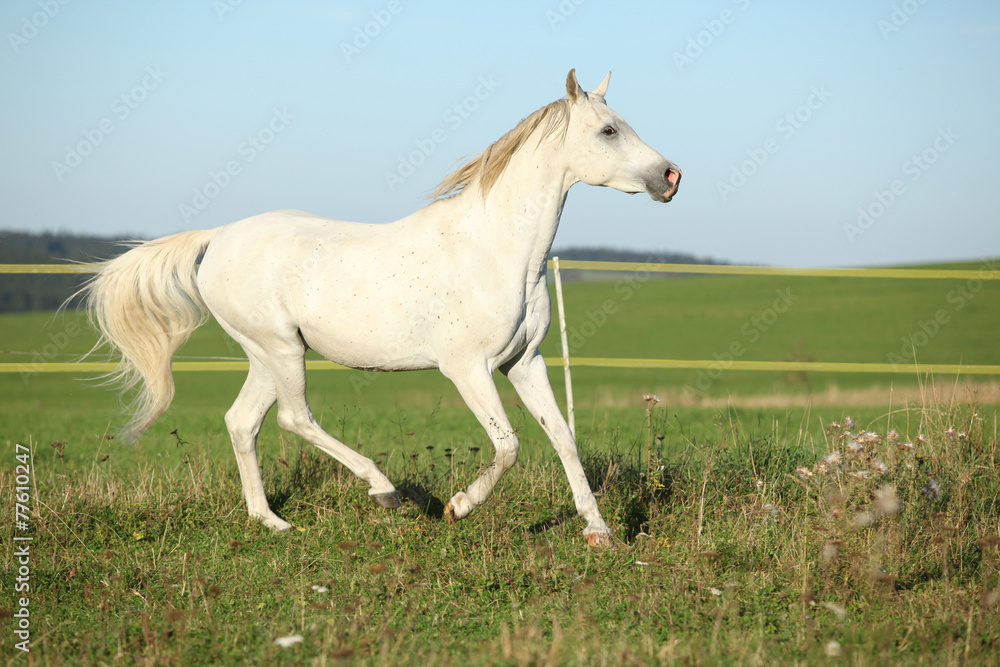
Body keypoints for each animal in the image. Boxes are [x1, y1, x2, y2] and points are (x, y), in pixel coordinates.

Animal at [82, 70, 684, 544]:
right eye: (609, 130)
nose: (671, 177)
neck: (496, 249)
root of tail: (218, 238)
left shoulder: (525, 363)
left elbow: (564, 439)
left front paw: (600, 532)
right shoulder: (468, 369)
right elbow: (509, 445)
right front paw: (457, 506)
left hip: (266, 354)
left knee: (242, 422)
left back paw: (272, 522)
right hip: (280, 350)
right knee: (294, 417)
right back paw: (385, 491)